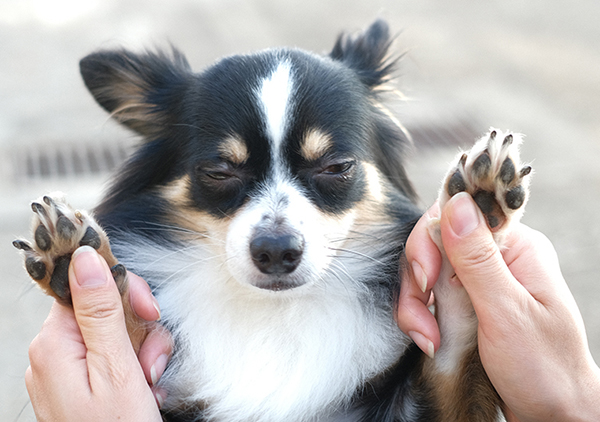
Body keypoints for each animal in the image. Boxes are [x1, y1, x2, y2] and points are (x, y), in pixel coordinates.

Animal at [12, 20, 528, 422]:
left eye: (336, 167)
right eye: (219, 172)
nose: (277, 250)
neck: (274, 315)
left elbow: (457, 351)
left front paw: (469, 221)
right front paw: (78, 260)